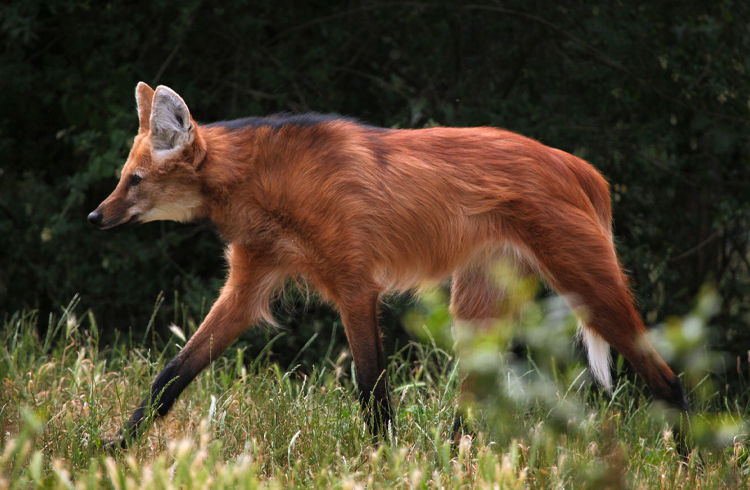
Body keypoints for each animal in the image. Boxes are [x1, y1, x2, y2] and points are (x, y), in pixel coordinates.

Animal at [86, 83, 688, 448]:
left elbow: (371, 387)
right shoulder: (250, 284)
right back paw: (452, 457)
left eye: (134, 180)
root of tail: (580, 168)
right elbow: (172, 372)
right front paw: (112, 448)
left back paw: (686, 459)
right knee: (474, 394)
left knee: (667, 379)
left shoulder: (355, 285)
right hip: (478, 299)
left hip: (584, 281)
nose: (95, 215)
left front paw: (382, 457)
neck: (264, 184)